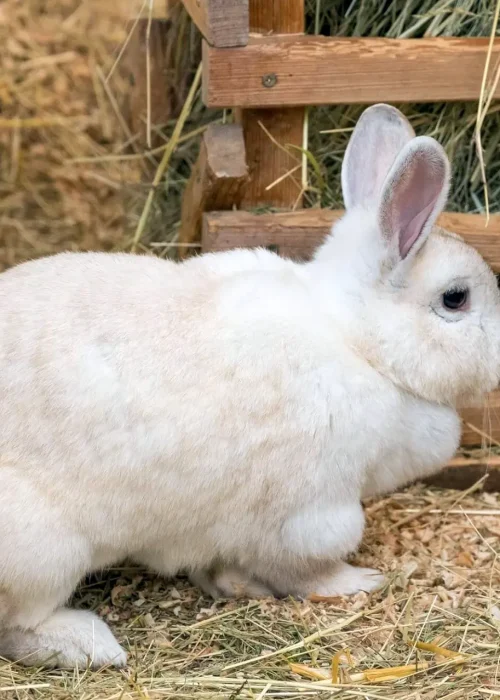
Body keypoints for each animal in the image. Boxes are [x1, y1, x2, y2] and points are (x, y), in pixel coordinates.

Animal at [1, 103, 500, 670]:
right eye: (456, 298)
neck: (358, 344)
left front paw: (230, 584)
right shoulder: (313, 515)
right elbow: (306, 570)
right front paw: (358, 581)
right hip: (45, 554)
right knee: (18, 626)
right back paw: (91, 644)